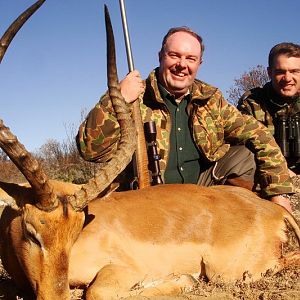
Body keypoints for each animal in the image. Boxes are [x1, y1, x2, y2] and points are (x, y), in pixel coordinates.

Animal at [0, 0, 300, 300]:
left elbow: (97, 292)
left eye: (75, 234)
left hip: (227, 272)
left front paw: (181, 279)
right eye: (30, 232)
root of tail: (273, 209)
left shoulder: (121, 269)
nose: (55, 295)